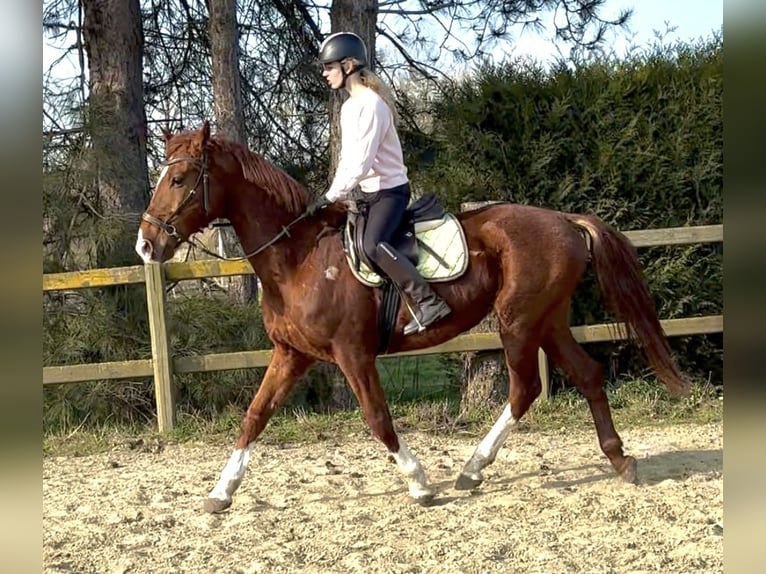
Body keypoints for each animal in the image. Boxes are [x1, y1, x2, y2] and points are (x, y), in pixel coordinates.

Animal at [136, 120, 688, 512]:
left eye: (180, 179)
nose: (146, 245)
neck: (299, 258)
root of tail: (564, 221)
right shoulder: (291, 355)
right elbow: (255, 416)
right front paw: (221, 492)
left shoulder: (353, 354)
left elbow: (378, 420)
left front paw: (421, 484)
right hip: (547, 319)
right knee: (588, 375)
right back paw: (618, 460)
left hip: (518, 321)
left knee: (525, 388)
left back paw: (472, 468)